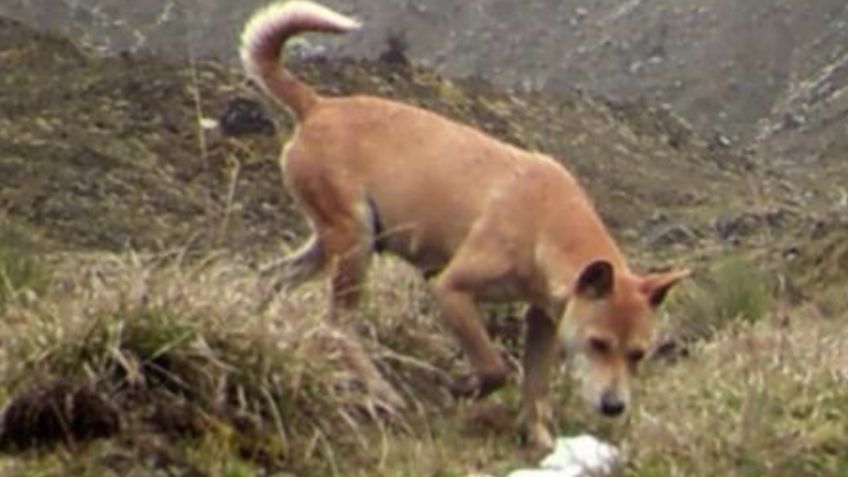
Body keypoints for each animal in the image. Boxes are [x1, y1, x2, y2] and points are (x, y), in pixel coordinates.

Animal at [238, 0, 688, 448]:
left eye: (637, 354)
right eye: (599, 344)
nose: (614, 407)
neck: (546, 222)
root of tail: (317, 106)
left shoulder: (543, 321)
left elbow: (535, 387)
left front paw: (540, 441)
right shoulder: (450, 290)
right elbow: (494, 368)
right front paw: (463, 389)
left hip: (333, 243)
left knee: (269, 279)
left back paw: (260, 331)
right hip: (355, 245)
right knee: (337, 327)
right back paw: (381, 391)